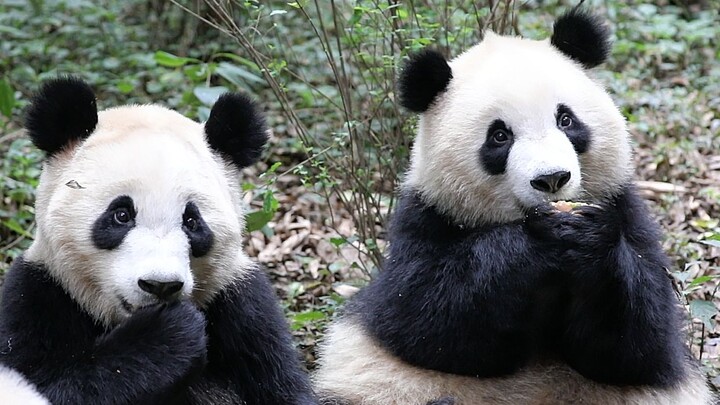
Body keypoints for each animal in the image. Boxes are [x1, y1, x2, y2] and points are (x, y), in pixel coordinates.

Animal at [0, 77, 316, 402]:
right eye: (121, 215)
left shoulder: (244, 305)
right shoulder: (40, 292)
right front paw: (168, 334)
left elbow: (281, 385)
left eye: (192, 221)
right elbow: (42, 383)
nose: (160, 285)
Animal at [314, 6, 716, 404]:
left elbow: (639, 345)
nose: (552, 179)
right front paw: (535, 241)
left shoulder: (625, 209)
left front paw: (589, 237)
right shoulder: (427, 218)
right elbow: (426, 319)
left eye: (565, 119)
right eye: (499, 136)